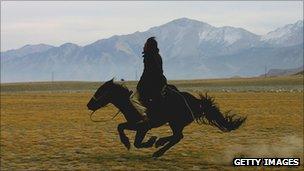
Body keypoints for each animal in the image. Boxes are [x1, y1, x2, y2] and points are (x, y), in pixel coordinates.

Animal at [86, 79, 247, 158]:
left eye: (100, 91)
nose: (88, 105)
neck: (130, 103)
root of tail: (196, 102)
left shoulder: (143, 126)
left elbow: (136, 141)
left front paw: (148, 141)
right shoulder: (135, 124)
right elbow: (121, 127)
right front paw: (129, 143)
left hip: (176, 122)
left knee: (177, 137)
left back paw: (158, 149)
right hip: (175, 123)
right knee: (177, 136)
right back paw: (159, 144)